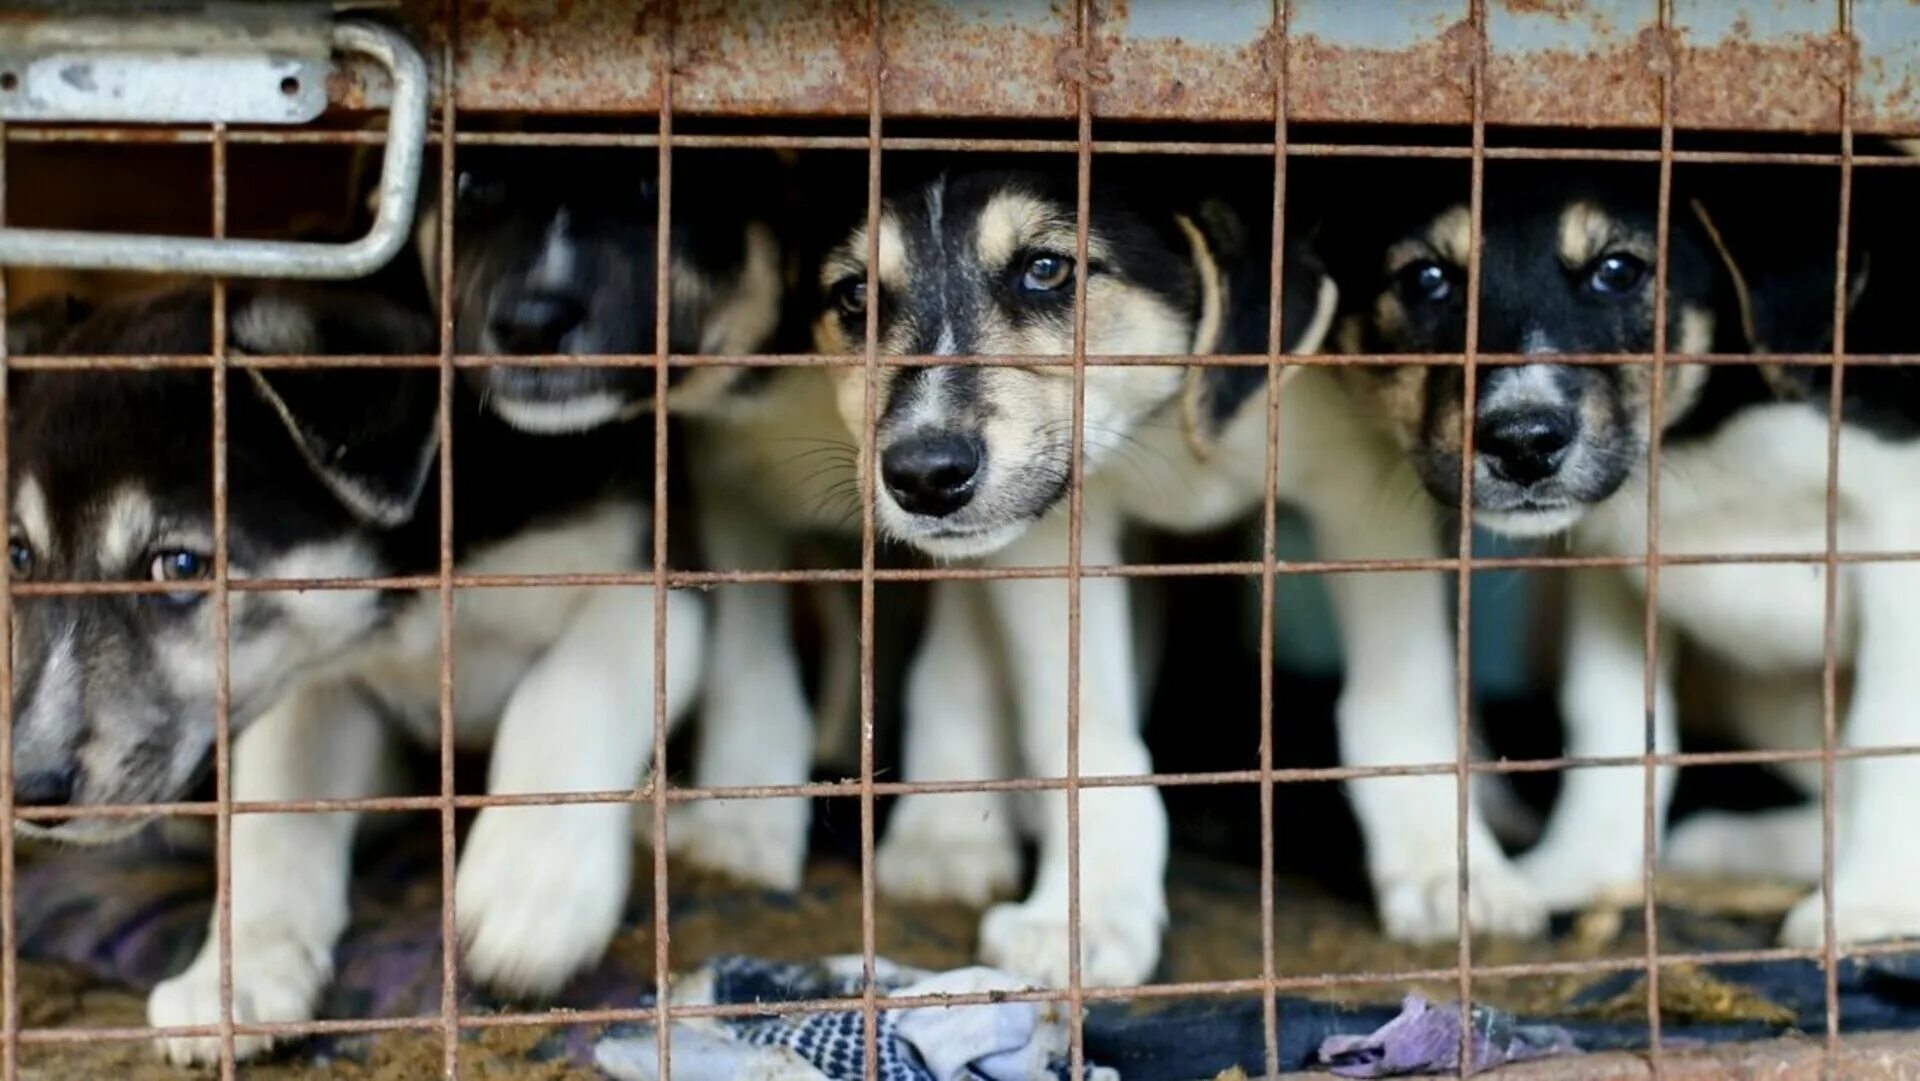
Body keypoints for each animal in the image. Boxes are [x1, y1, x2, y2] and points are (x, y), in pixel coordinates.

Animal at [9, 284, 698, 1059]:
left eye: (179, 565)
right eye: (19, 557)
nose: (30, 790)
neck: (413, 580)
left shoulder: (665, 576)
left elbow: (571, 688)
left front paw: (532, 887)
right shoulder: (313, 670)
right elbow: (279, 800)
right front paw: (239, 971)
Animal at [814, 163, 1543, 990]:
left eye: (1046, 268)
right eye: (855, 295)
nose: (923, 474)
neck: (1167, 422)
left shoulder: (1361, 498)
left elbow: (1401, 701)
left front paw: (1447, 874)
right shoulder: (1053, 537)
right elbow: (1086, 734)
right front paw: (1087, 912)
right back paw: (944, 832)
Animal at [1336, 156, 1920, 952]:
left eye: (1618, 270)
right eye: (1427, 279)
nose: (1522, 442)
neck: (1703, 438)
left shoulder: (1898, 530)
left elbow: (1887, 732)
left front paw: (1873, 905)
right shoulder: (1610, 573)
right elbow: (1612, 720)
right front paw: (1582, 866)